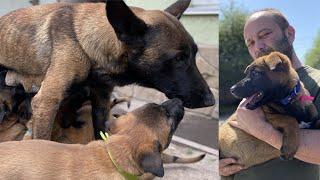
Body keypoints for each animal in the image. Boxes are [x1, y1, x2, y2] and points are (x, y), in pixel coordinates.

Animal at [0, 0, 215, 140]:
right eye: (178, 59)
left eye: (194, 54)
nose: (211, 101)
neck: (85, 41)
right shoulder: (46, 102)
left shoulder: (101, 103)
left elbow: (100, 134)